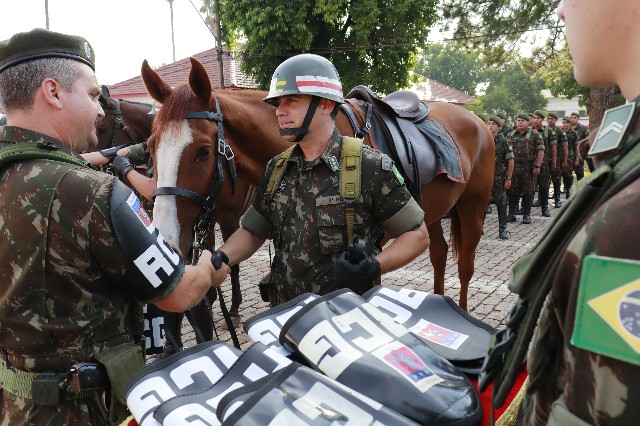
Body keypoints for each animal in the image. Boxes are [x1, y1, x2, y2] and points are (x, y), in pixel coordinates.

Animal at [142, 56, 496, 310]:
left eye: (202, 151)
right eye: (150, 145)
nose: (167, 240)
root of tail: (478, 120)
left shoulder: (371, 255)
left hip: (473, 208)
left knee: (465, 265)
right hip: (433, 211)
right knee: (439, 254)